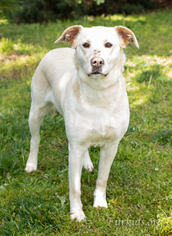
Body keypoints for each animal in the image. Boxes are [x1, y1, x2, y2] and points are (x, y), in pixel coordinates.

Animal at [25, 25, 138, 221]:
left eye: (109, 44)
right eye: (85, 45)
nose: (97, 62)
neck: (99, 94)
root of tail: (54, 50)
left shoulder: (111, 146)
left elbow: (102, 178)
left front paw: (99, 203)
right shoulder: (75, 148)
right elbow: (75, 187)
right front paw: (76, 213)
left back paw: (87, 164)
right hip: (36, 111)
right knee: (35, 139)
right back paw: (31, 164)